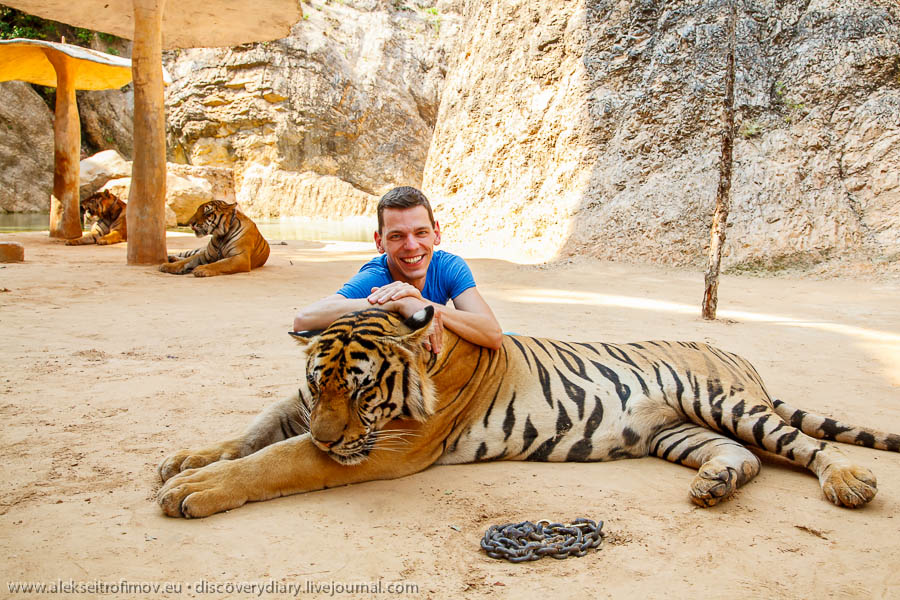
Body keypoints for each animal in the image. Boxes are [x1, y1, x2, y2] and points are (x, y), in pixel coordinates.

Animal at [157, 307, 899, 518]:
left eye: (364, 392)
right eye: (322, 385)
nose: (333, 433)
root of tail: (741, 358)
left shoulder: (383, 447)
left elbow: (281, 457)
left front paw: (191, 489)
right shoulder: (306, 413)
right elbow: (259, 431)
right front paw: (189, 458)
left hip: (720, 401)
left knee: (805, 446)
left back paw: (849, 483)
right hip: (678, 432)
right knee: (742, 457)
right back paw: (713, 486)